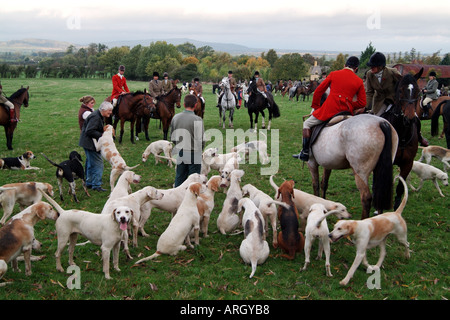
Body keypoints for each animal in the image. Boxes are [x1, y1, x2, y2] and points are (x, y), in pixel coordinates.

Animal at [382, 67, 424, 210]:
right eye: (400, 90)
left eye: (418, 91)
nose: (409, 119)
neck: (402, 135)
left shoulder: (408, 163)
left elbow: (400, 187)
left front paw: (397, 206)